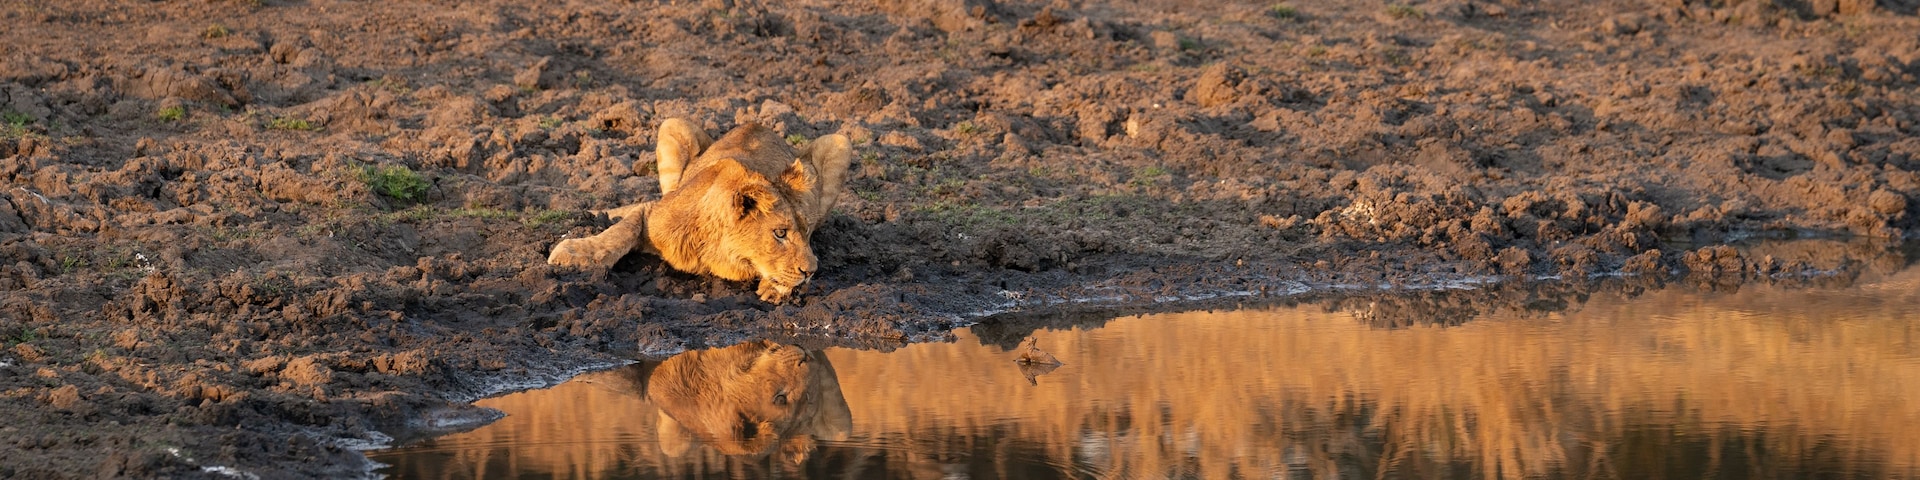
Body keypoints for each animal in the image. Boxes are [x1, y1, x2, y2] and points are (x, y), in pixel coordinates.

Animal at [547, 118, 852, 304]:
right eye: (780, 233)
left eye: (807, 232)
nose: (812, 271)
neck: (720, 250)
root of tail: (758, 124)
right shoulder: (654, 212)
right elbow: (621, 231)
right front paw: (576, 252)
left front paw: (775, 288)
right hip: (672, 125)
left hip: (840, 142)